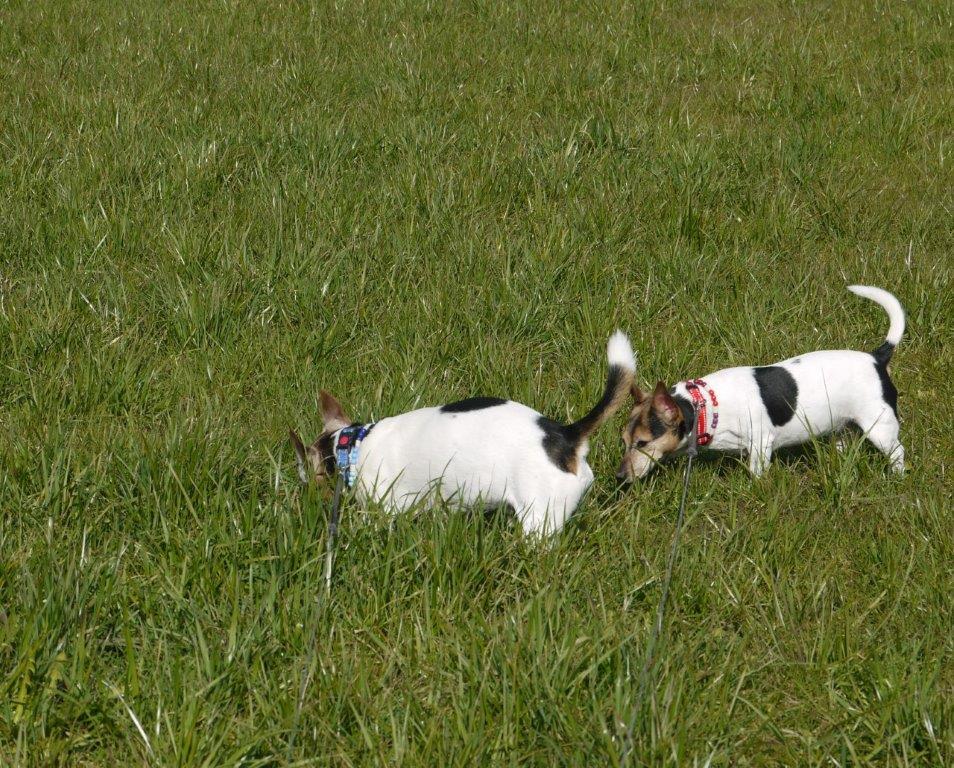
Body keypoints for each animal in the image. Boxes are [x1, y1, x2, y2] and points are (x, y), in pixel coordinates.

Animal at [291, 332, 636, 536]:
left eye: (306, 478)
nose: (307, 501)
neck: (352, 445)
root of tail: (565, 435)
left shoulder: (384, 506)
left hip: (539, 519)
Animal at [617, 286, 905, 481]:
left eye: (642, 443)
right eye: (623, 441)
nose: (619, 477)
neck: (706, 407)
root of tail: (877, 357)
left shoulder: (760, 443)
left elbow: (756, 472)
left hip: (880, 427)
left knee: (898, 452)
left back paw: (897, 476)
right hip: (842, 427)